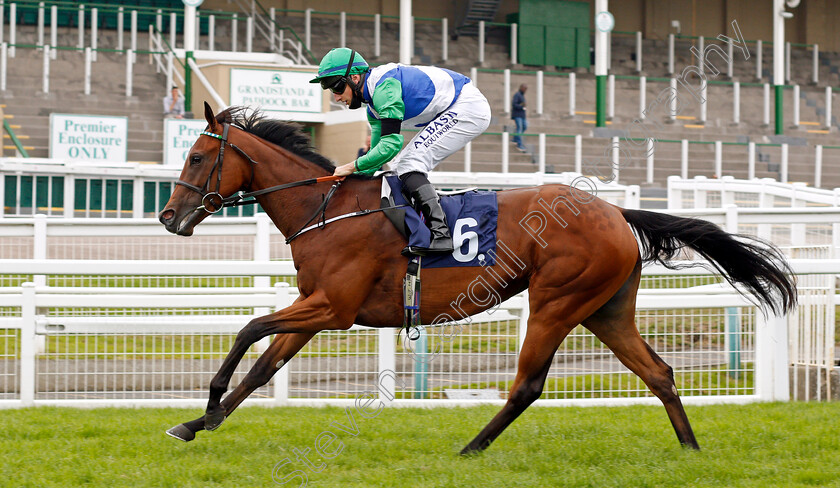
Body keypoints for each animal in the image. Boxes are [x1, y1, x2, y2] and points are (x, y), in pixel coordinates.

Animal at [158, 103, 796, 454]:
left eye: (196, 158)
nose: (167, 217)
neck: (327, 209)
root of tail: (615, 212)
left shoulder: (332, 309)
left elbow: (248, 330)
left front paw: (206, 405)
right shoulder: (316, 307)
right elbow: (263, 365)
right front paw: (196, 423)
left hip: (556, 301)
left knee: (528, 385)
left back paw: (471, 447)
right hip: (605, 308)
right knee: (659, 372)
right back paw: (689, 447)